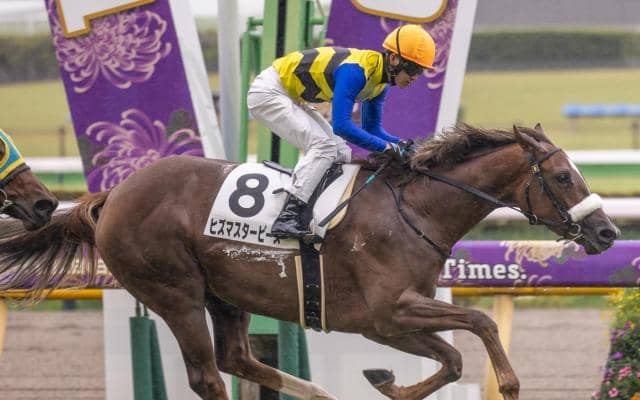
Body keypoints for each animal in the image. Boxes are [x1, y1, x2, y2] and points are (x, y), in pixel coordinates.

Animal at [0, 124, 618, 400]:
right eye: (563, 176)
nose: (608, 232)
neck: (415, 209)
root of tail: (111, 196)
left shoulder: (387, 322)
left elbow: (451, 360)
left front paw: (384, 381)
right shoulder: (390, 312)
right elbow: (481, 323)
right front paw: (509, 383)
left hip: (225, 295)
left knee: (238, 358)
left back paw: (318, 393)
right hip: (174, 292)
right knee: (206, 374)